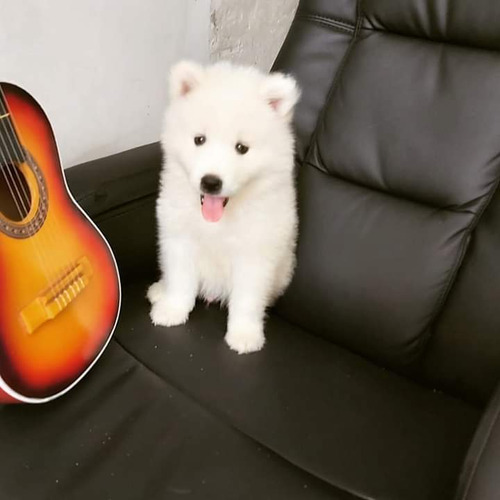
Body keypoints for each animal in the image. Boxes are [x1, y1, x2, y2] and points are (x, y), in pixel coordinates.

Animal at [146, 60, 298, 354]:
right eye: (199, 140)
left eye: (242, 148)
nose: (211, 182)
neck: (216, 221)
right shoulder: (179, 238)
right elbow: (180, 279)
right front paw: (173, 309)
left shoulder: (255, 252)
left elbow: (247, 299)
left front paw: (245, 334)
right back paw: (161, 290)